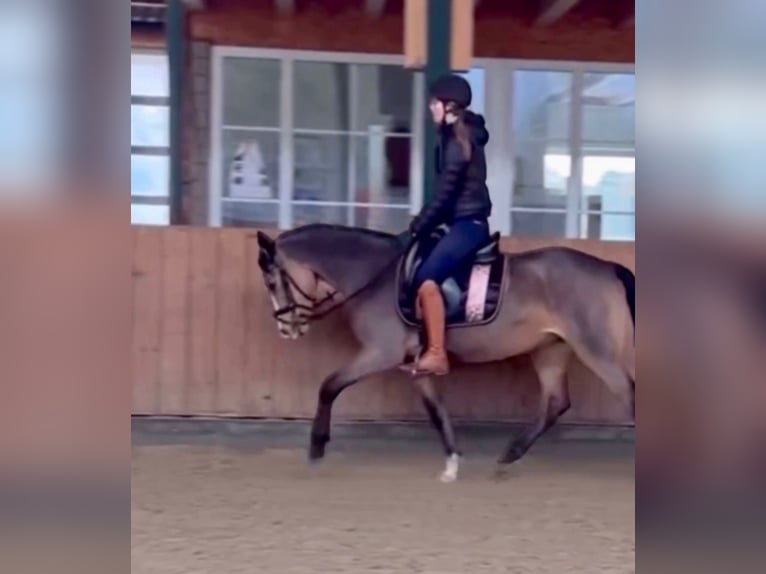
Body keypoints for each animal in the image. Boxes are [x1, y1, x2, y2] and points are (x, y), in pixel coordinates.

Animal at [258, 223, 636, 484]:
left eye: (273, 282)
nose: (286, 328)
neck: (376, 275)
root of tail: (607, 267)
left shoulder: (380, 352)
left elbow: (329, 386)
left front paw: (317, 448)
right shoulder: (415, 363)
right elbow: (436, 411)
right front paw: (452, 464)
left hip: (596, 349)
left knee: (627, 395)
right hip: (550, 350)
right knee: (555, 403)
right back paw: (507, 457)